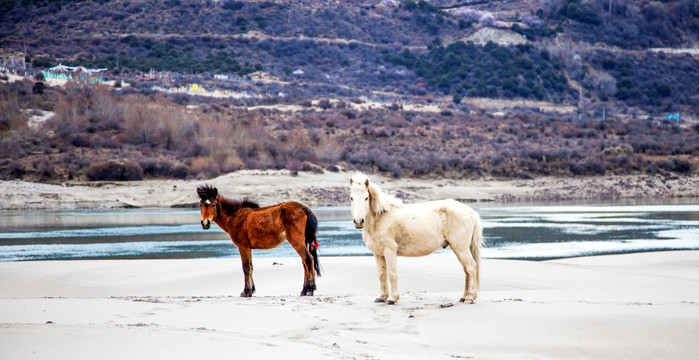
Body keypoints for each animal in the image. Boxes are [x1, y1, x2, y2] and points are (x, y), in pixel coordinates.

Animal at [348, 174, 484, 304]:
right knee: (466, 270)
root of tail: (471, 211)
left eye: (366, 198)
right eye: (351, 198)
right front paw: (381, 297)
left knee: (471, 267)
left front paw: (392, 298)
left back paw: (469, 298)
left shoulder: (389, 250)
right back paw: (464, 297)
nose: (359, 221)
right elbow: (382, 274)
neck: (380, 219)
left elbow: (392, 273)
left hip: (461, 248)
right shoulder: (378, 253)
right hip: (459, 249)